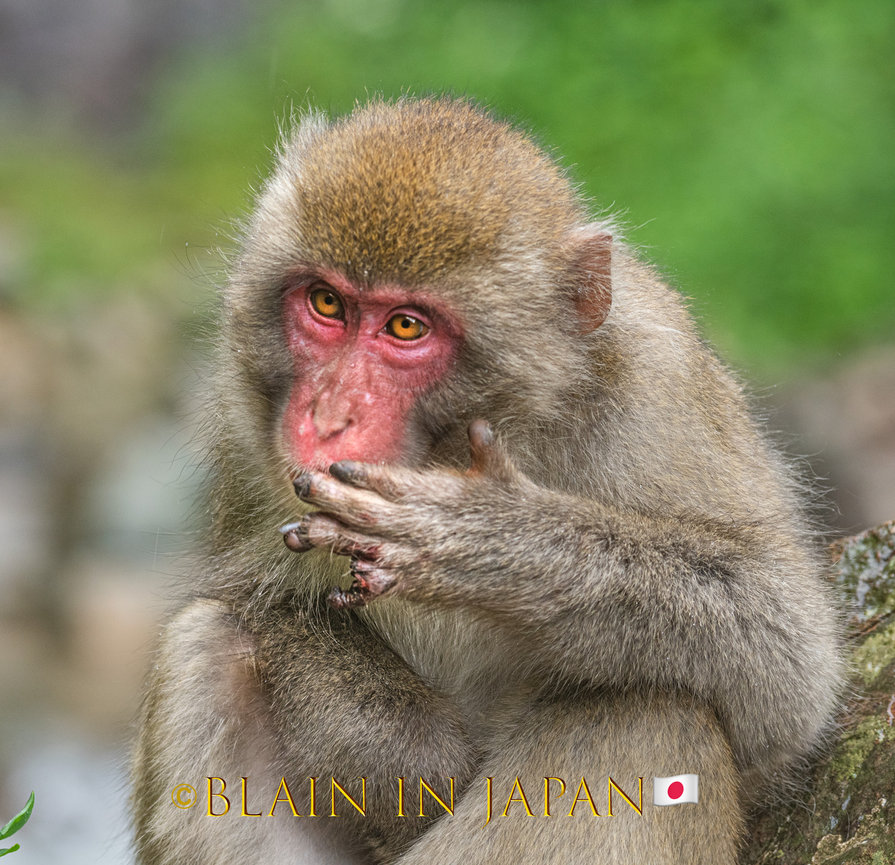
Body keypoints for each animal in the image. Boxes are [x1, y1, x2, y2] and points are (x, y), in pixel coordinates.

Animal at [132, 97, 844, 865]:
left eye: (406, 326)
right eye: (325, 303)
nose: (326, 415)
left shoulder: (659, 379)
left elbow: (786, 660)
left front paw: (484, 542)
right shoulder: (239, 422)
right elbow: (248, 600)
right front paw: (396, 745)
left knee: (643, 711)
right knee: (204, 643)